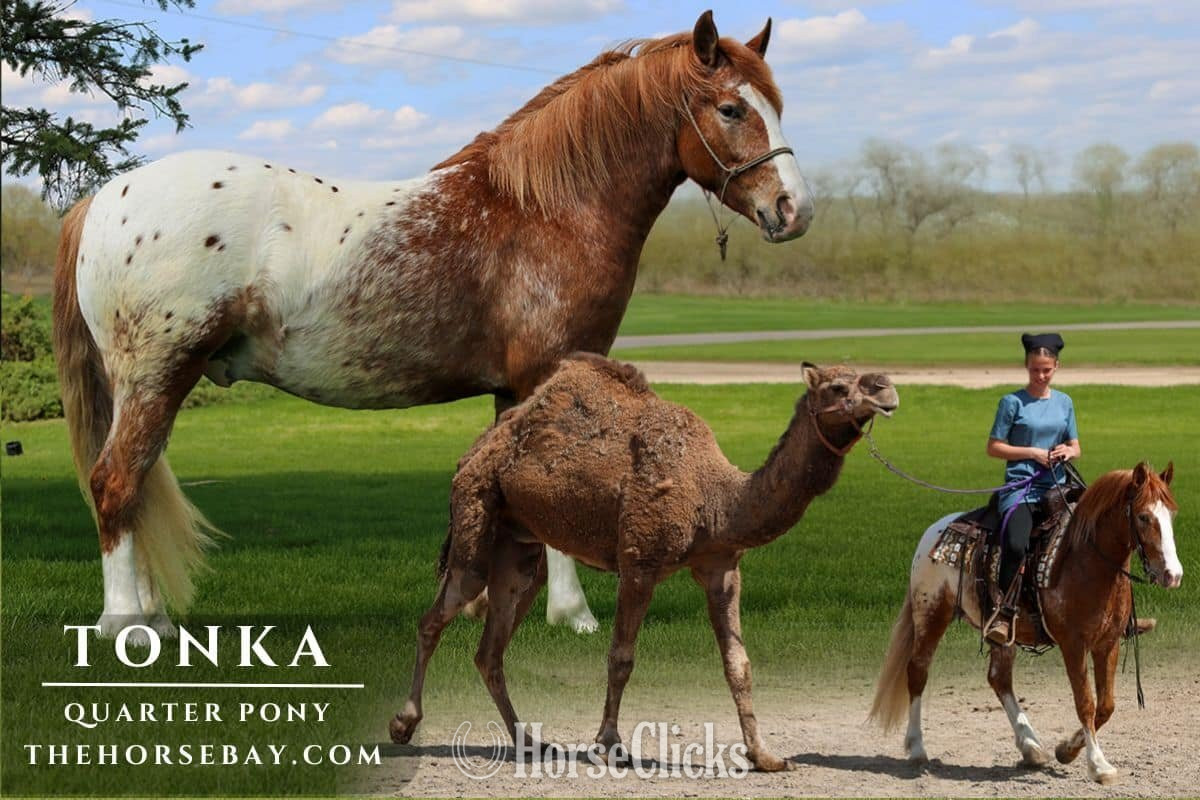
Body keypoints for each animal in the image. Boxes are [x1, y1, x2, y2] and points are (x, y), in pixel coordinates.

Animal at [52, 11, 813, 644]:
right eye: (731, 108)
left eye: (776, 106)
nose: (794, 210)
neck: (545, 210)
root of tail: (106, 197)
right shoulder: (549, 373)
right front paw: (573, 615)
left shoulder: (512, 391)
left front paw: (483, 603)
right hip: (157, 377)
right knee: (115, 484)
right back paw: (125, 626)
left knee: (136, 486)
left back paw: (150, 617)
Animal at [870, 462, 1182, 784]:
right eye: (1143, 516)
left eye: (1171, 514)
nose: (1173, 575)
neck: (1087, 561)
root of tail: (936, 530)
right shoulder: (1073, 644)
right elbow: (1086, 702)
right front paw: (1098, 765)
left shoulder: (1108, 643)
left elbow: (1106, 706)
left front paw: (1066, 750)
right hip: (931, 613)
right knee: (918, 671)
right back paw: (917, 748)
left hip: (1000, 633)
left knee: (999, 678)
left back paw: (1031, 747)